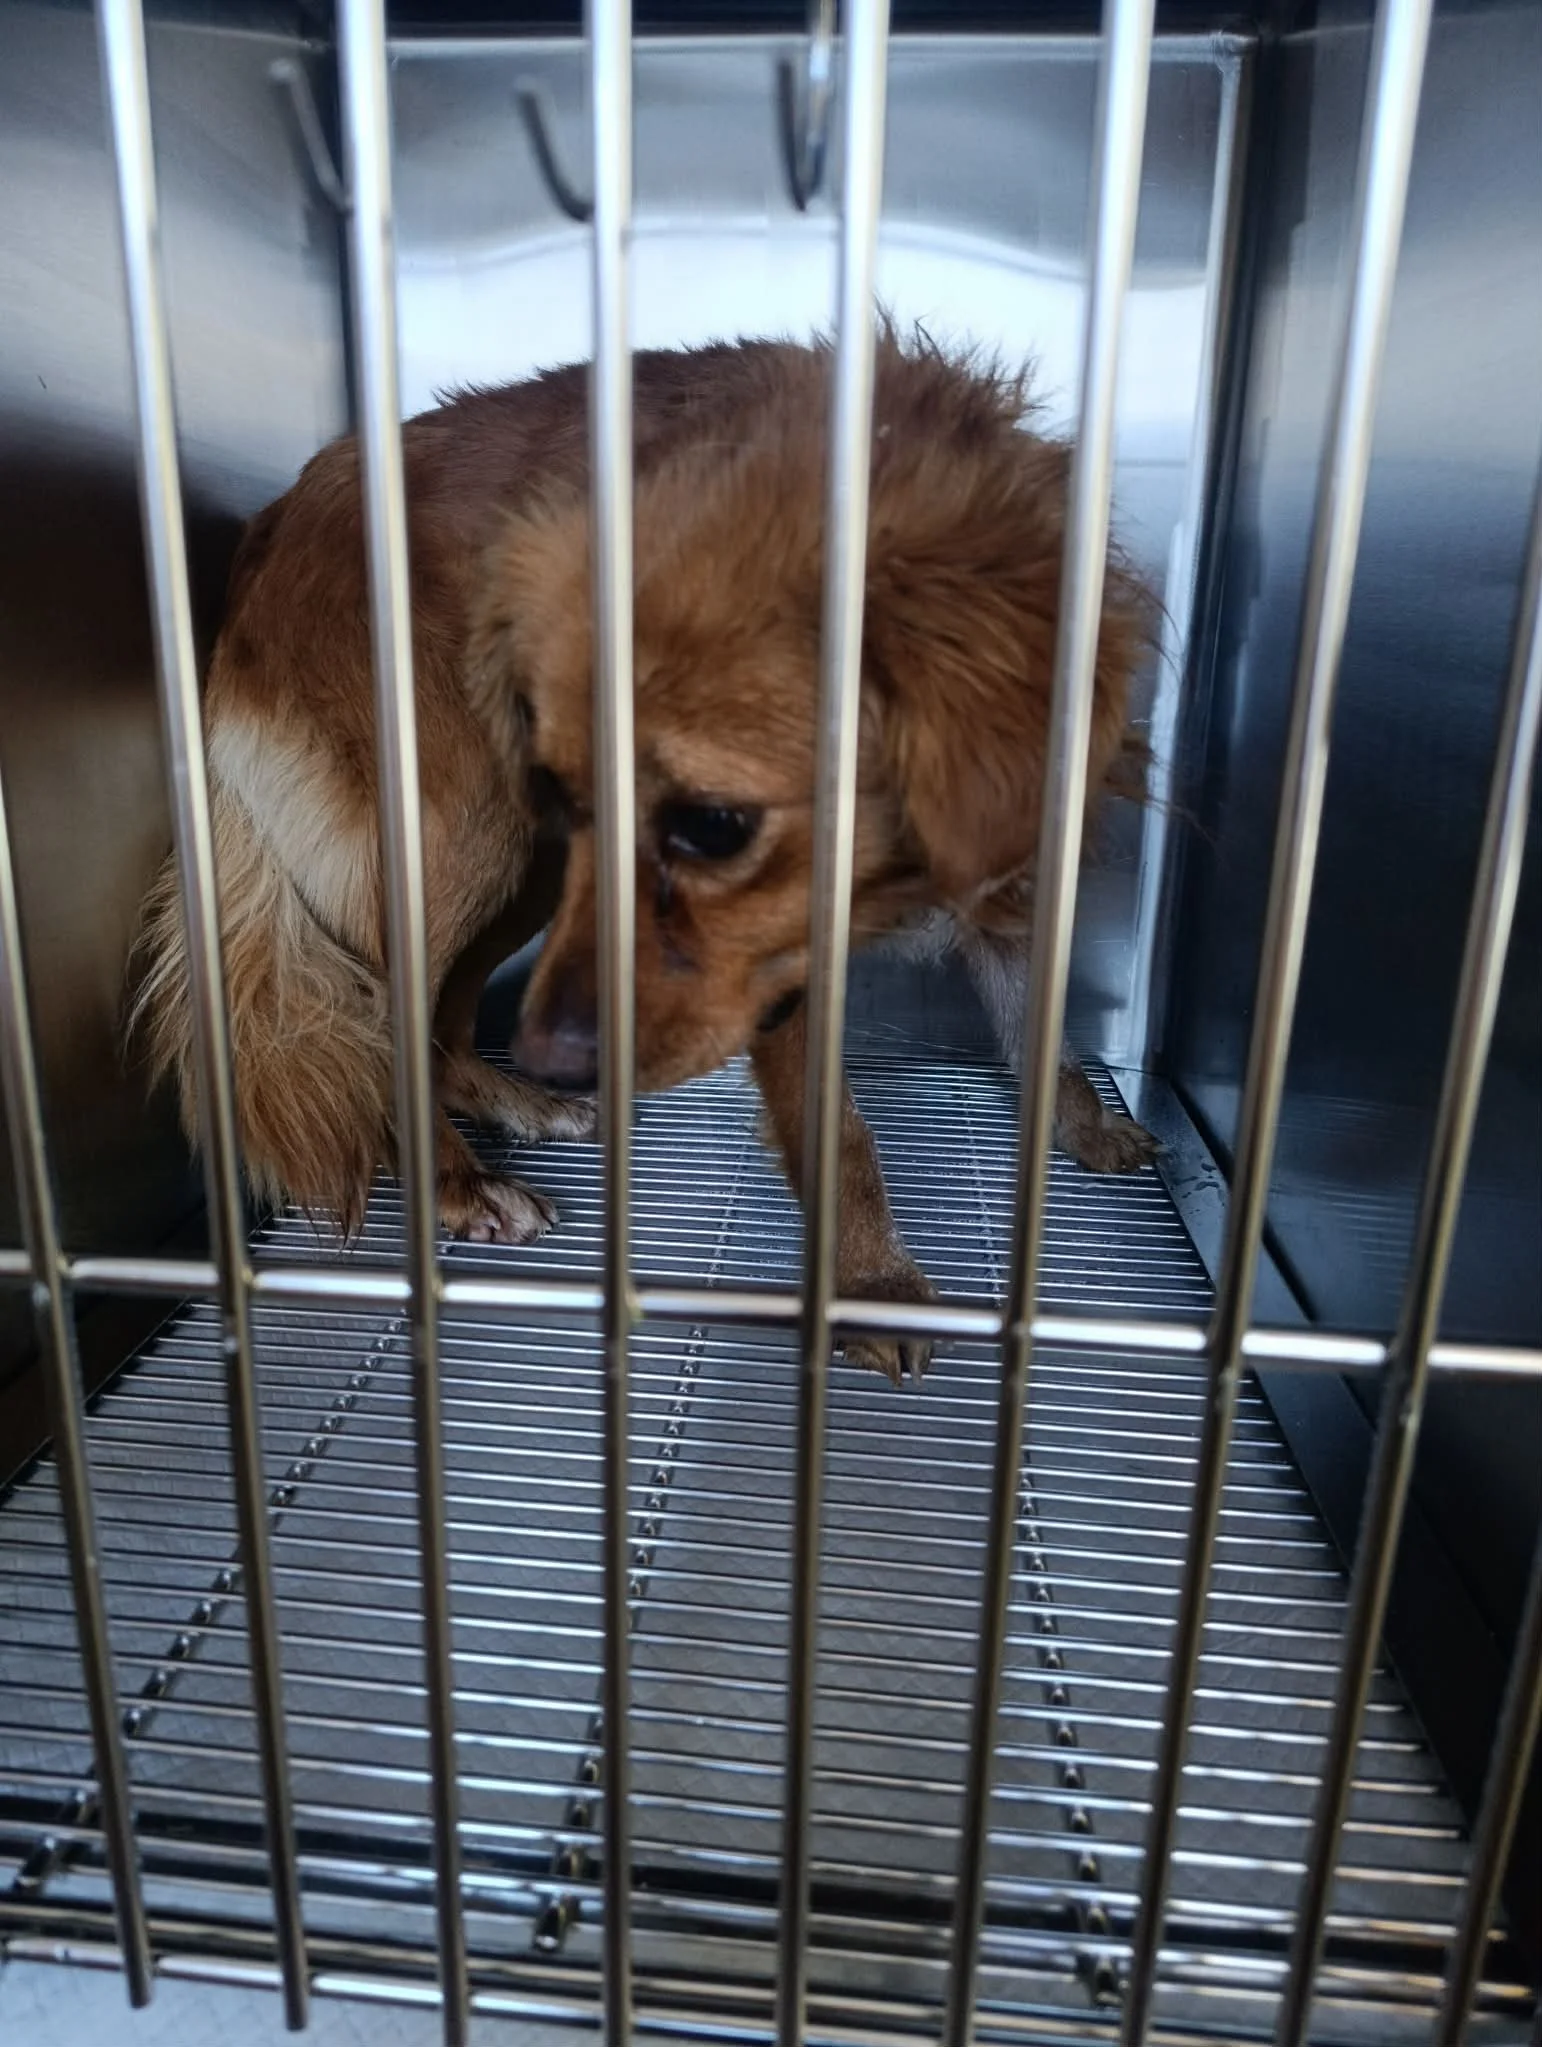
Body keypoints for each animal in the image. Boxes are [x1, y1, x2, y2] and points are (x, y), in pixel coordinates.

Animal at [131, 331, 1158, 1384]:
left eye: (715, 823)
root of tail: (277, 520)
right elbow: (842, 1137)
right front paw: (875, 1286)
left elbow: (1046, 1035)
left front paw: (1084, 1126)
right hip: (473, 827)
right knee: (388, 1015)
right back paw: (458, 1181)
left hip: (532, 852)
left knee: (445, 1022)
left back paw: (519, 1102)